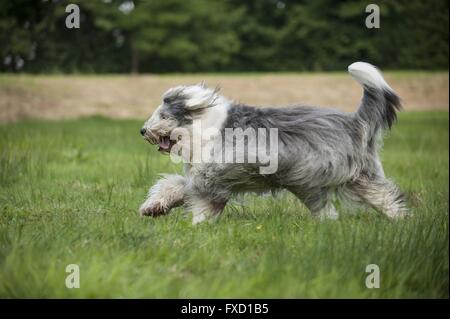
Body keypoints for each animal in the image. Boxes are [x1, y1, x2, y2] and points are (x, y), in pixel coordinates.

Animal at [140, 62, 408, 225]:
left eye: (163, 116)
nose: (142, 131)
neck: (200, 126)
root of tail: (353, 122)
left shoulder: (214, 176)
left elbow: (196, 195)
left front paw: (197, 223)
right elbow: (175, 185)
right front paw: (153, 207)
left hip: (314, 176)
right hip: (352, 177)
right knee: (382, 197)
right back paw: (401, 220)